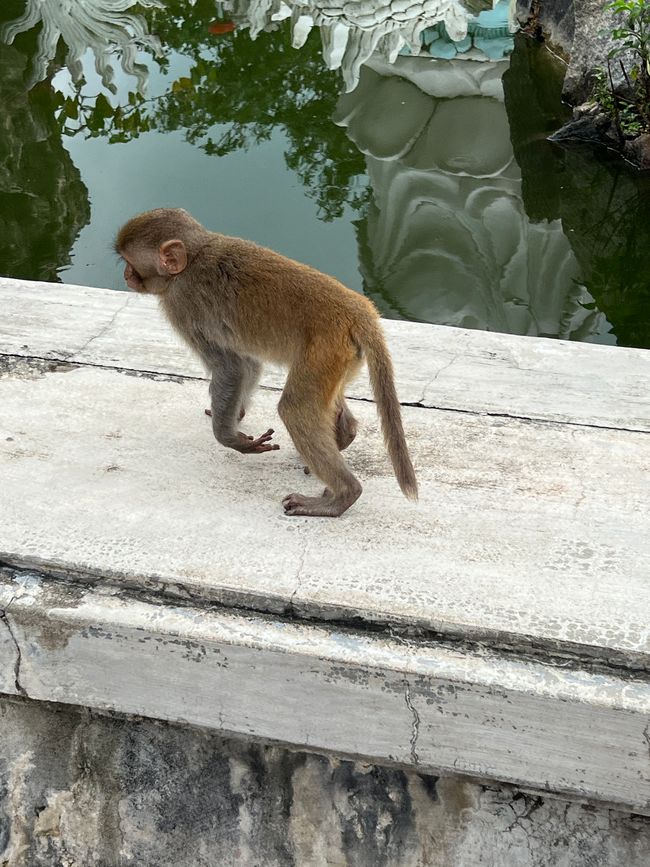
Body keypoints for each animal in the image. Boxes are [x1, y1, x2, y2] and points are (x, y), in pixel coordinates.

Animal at [115, 208, 417, 517]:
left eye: (130, 263)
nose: (126, 275)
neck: (193, 259)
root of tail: (359, 310)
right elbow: (247, 363)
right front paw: (236, 414)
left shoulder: (183, 307)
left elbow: (230, 368)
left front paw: (230, 438)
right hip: (343, 355)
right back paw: (346, 433)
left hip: (326, 347)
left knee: (295, 408)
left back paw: (342, 495)